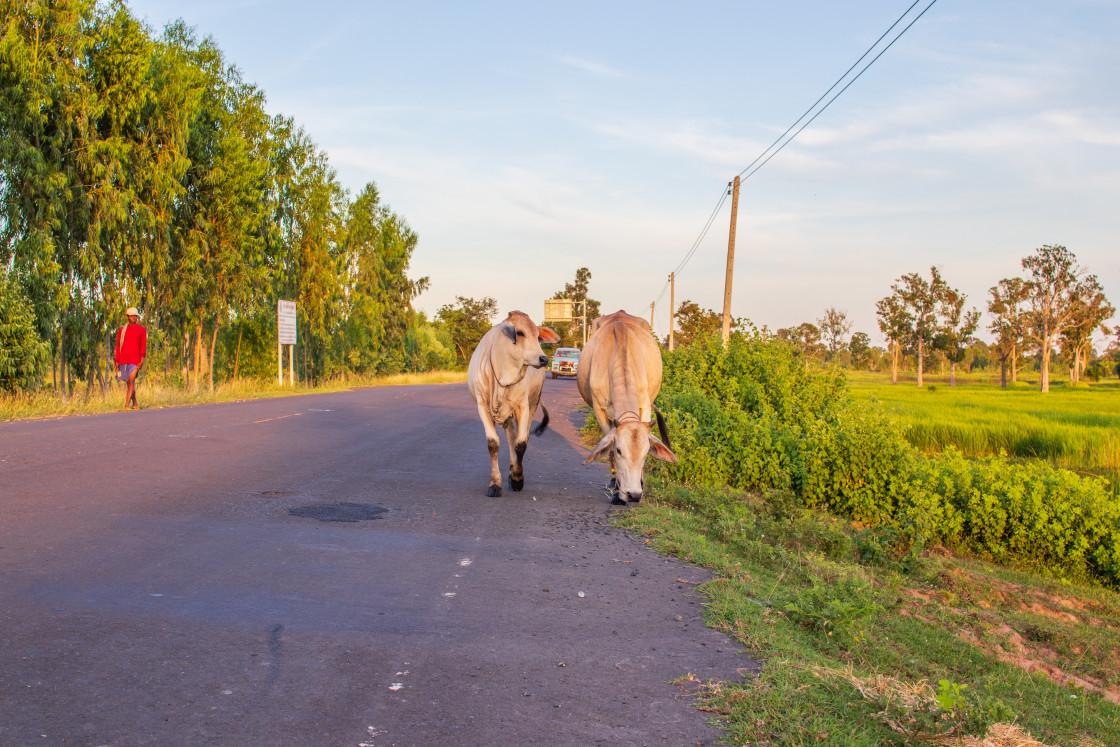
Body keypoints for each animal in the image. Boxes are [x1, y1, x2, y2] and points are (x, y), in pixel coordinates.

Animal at [463, 309, 560, 497]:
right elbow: (493, 444)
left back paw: (513, 471)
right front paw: (495, 484)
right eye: (520, 333)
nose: (544, 359)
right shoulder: (482, 407)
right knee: (510, 436)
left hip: (532, 404)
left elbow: (521, 444)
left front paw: (517, 478)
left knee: (519, 438)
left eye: (537, 335)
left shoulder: (523, 407)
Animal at [577, 306, 672, 506]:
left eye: (646, 452)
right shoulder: (599, 409)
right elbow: (609, 448)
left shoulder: (644, 404)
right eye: (619, 450)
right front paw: (618, 492)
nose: (633, 494)